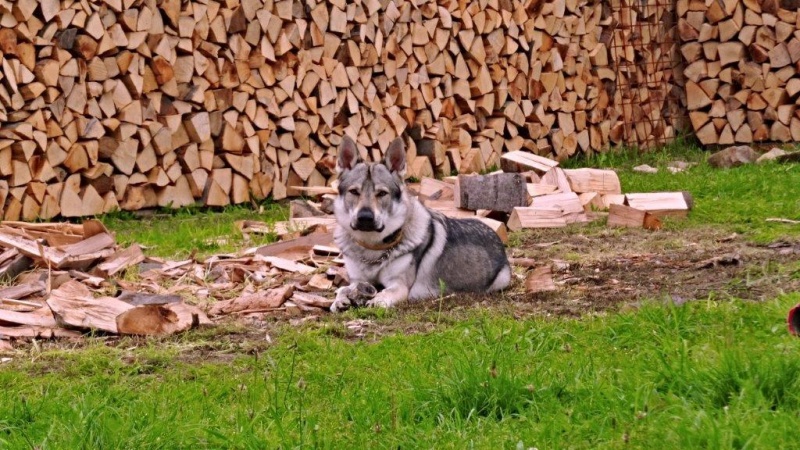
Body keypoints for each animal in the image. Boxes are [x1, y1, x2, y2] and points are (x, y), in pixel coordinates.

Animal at [332, 136, 512, 312]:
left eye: (382, 193)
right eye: (354, 192)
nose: (365, 217)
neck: (371, 250)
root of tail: (497, 238)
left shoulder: (400, 285)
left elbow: (386, 292)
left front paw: (377, 301)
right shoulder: (357, 280)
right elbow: (343, 288)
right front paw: (339, 300)